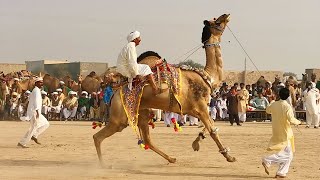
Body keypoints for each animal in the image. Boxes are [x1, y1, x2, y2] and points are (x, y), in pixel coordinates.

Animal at [92, 13, 235, 166]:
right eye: (217, 22)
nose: (226, 15)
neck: (208, 77)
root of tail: (114, 93)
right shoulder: (200, 107)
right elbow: (213, 130)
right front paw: (229, 156)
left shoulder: (194, 109)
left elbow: (210, 125)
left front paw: (196, 143)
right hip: (120, 117)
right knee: (98, 137)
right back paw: (102, 165)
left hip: (142, 112)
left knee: (147, 140)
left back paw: (171, 158)